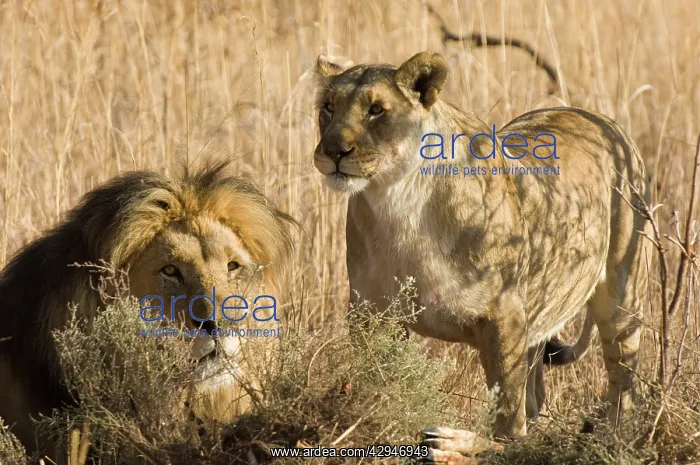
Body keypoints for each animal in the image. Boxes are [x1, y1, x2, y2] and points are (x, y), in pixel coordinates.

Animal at [313, 51, 651, 458]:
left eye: (376, 109)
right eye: (328, 108)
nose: (334, 152)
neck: (398, 203)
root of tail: (600, 119)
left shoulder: (504, 316)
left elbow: (507, 420)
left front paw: (462, 444)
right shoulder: (369, 312)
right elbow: (377, 382)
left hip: (622, 295)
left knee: (621, 384)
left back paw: (609, 438)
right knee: (538, 397)